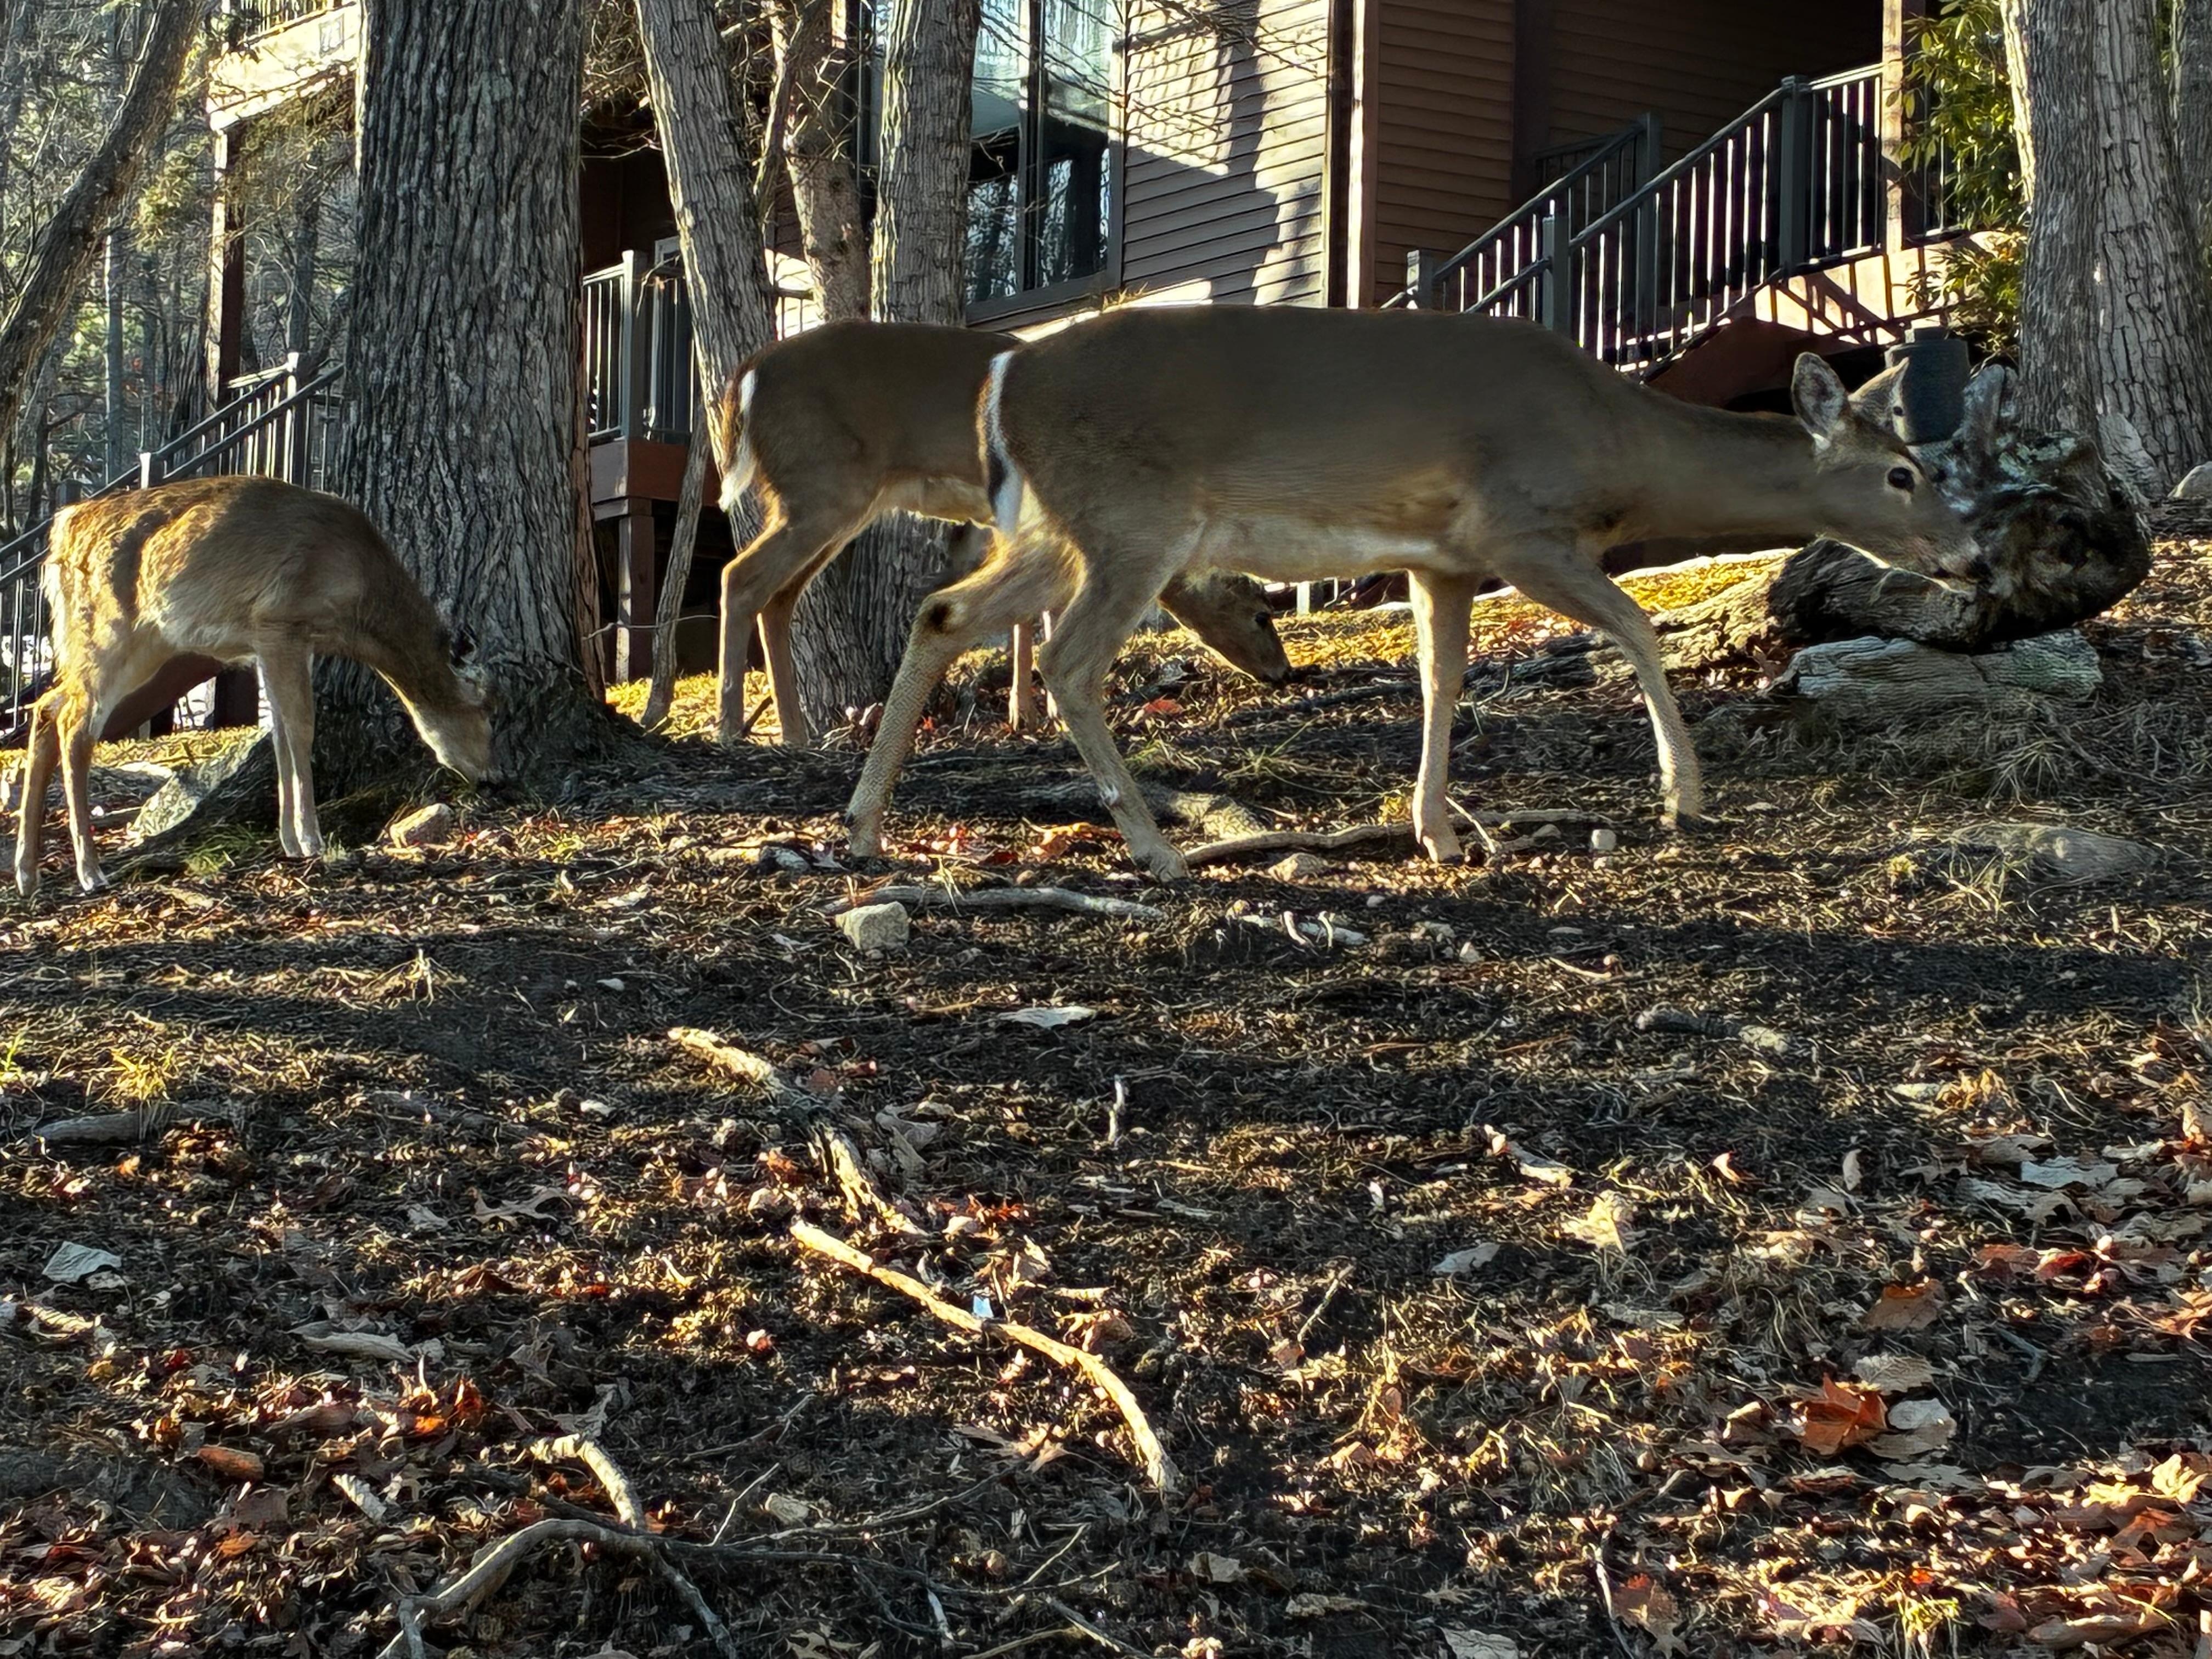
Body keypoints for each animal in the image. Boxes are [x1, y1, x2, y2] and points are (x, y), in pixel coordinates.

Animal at [14, 475, 493, 898]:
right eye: (488, 712)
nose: (493, 776)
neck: (359, 595)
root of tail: (64, 528)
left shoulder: (283, 641)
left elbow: (279, 730)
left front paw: (290, 841)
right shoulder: (281, 620)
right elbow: (301, 727)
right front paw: (313, 839)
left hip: (137, 642)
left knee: (47, 707)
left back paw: (27, 874)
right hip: (108, 629)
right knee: (75, 725)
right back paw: (89, 871)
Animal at [711, 319, 1294, 748]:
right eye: (1261, 615)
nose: (1285, 673)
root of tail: (747, 375)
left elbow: (1028, 614)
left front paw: (1031, 712)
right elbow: (1037, 611)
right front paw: (1043, 710)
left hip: (828, 499)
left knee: (779, 596)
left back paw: (794, 733)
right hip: (821, 485)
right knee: (740, 576)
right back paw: (729, 728)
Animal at [846, 305, 1985, 880]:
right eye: (1903, 473)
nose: (1972, 556)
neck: (1621, 448)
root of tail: (1000, 384)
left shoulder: (1442, 557)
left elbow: (1442, 680)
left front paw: (1436, 831)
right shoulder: (1518, 528)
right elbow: (1636, 628)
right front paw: (1682, 794)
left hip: (1060, 526)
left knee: (943, 613)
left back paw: (861, 825)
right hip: (1132, 520)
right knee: (1071, 661)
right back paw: (1157, 848)